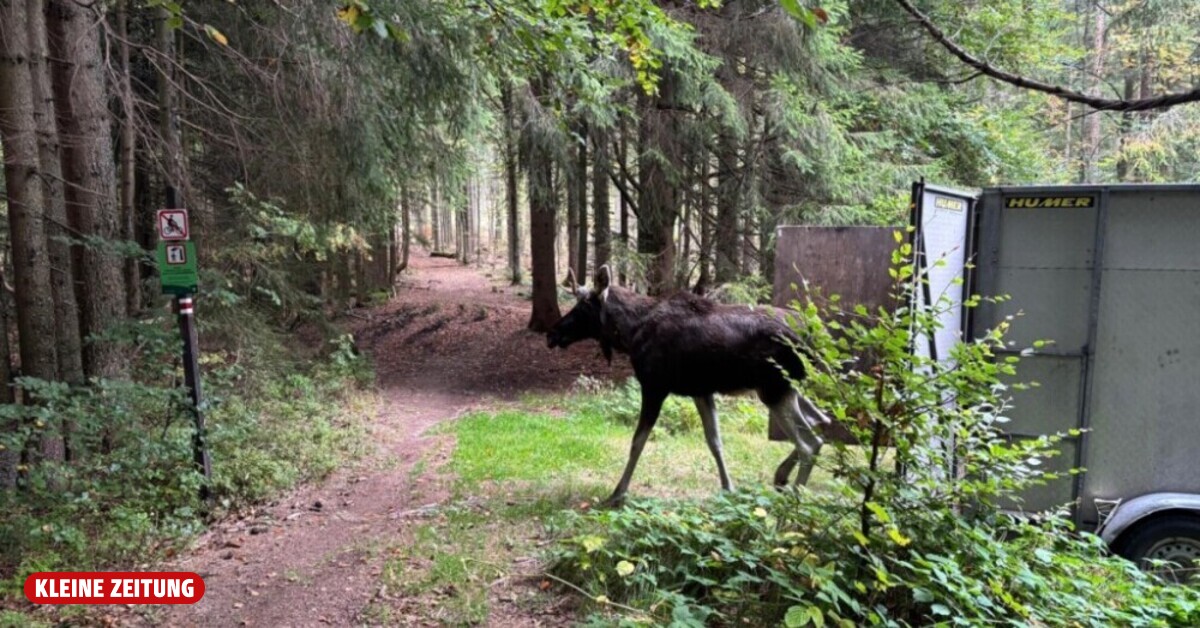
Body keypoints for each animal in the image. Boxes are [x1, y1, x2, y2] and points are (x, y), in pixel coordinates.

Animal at [546, 266, 830, 506]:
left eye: (582, 308)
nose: (552, 333)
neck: (630, 333)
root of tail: (816, 336)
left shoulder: (654, 386)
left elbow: (637, 442)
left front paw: (617, 493)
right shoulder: (701, 391)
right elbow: (714, 441)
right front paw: (728, 488)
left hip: (774, 389)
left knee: (809, 444)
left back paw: (793, 503)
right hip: (789, 388)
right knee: (822, 422)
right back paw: (782, 476)